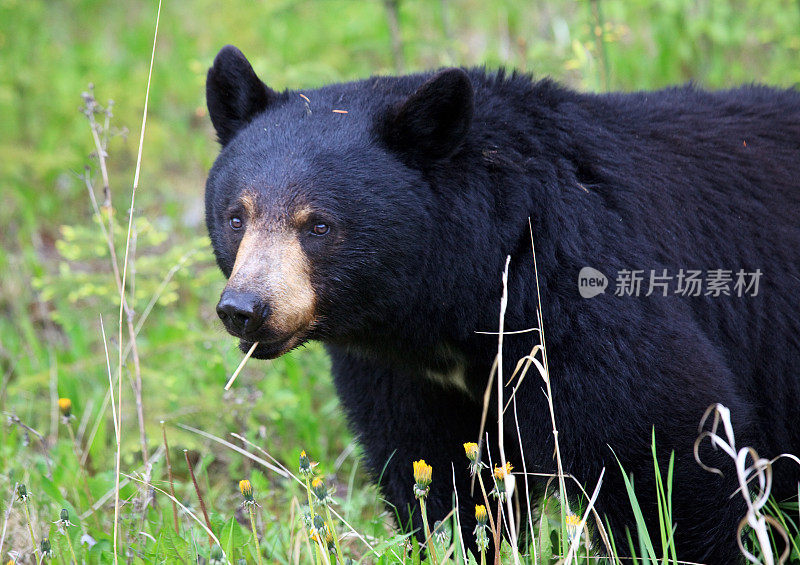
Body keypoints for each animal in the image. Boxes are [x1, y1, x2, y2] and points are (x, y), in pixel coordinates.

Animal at [205, 45, 800, 564]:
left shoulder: (576, 296)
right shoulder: (403, 373)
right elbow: (435, 470)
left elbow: (662, 445)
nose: (245, 308)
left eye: (319, 226)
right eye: (237, 216)